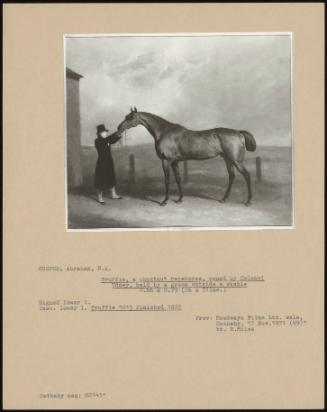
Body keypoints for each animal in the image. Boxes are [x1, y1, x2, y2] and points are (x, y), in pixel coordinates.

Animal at [117, 108, 256, 206]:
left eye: (131, 117)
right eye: (126, 117)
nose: (119, 128)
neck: (164, 132)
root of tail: (239, 133)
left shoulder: (166, 161)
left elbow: (167, 180)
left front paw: (164, 201)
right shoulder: (174, 162)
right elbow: (178, 179)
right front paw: (179, 199)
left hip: (236, 161)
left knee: (247, 176)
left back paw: (248, 201)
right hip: (227, 160)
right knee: (232, 176)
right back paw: (224, 199)